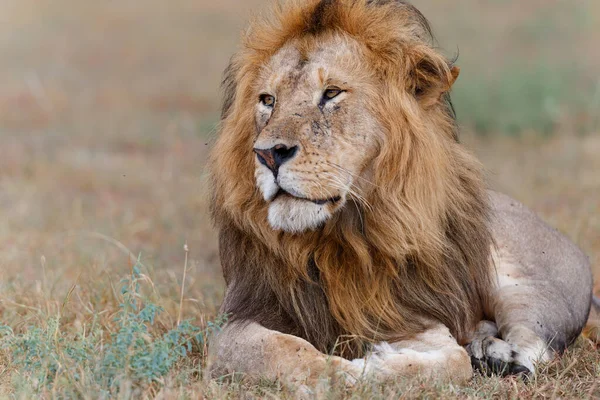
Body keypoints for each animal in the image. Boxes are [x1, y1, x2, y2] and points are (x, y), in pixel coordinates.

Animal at [207, 0, 596, 388]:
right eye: (267, 100)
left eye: (331, 93)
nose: (268, 154)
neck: (339, 237)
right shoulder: (234, 320)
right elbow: (292, 353)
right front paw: (348, 370)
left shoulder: (410, 312)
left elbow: (452, 361)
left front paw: (376, 365)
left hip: (529, 284)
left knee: (537, 343)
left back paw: (501, 358)